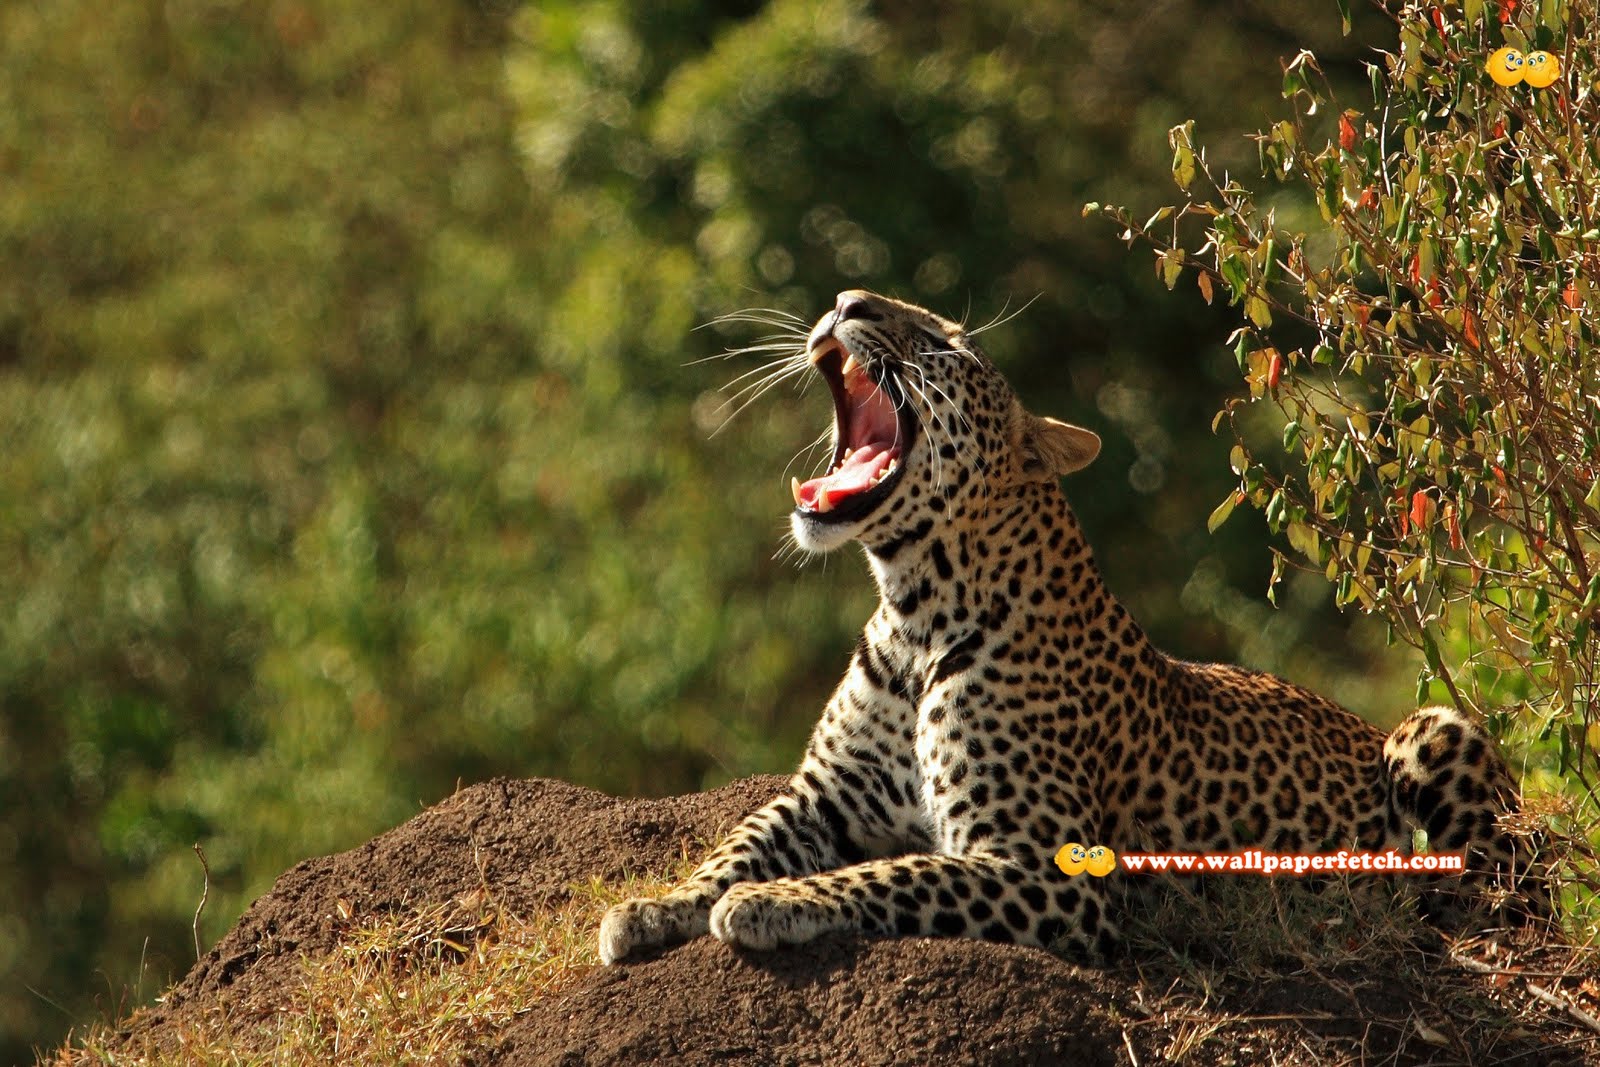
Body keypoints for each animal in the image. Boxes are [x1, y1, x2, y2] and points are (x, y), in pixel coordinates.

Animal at [598, 287, 1536, 966]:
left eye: (947, 344)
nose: (845, 300)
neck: (916, 611)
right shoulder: (822, 794)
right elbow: (736, 841)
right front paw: (652, 907)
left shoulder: (1049, 867)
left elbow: (893, 870)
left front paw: (772, 901)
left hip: (1434, 732)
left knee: (1500, 877)